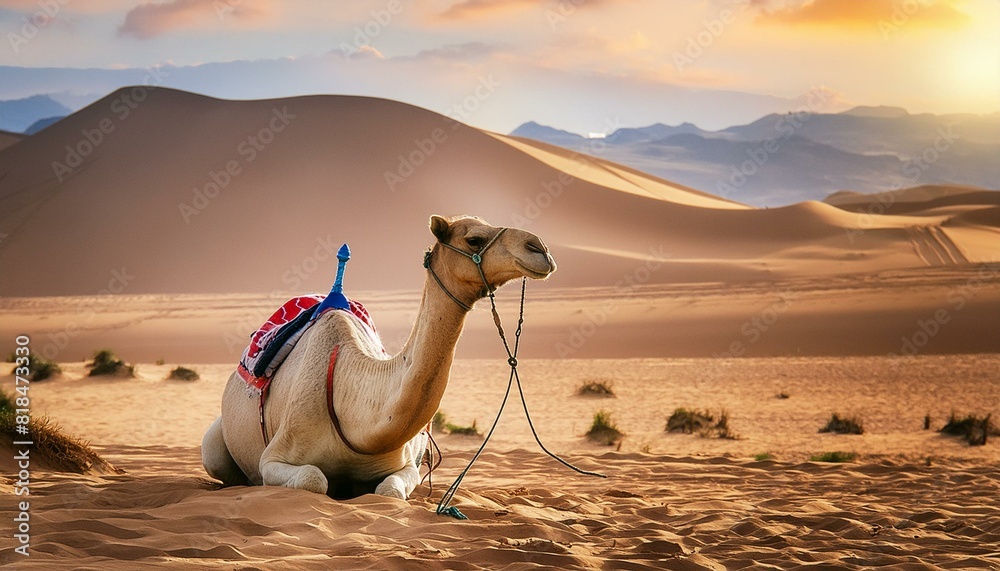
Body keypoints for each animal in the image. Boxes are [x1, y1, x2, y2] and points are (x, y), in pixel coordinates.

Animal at [201, 215, 556, 499]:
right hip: (214, 448)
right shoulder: (274, 458)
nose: (540, 248)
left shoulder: (407, 464)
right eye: (474, 239)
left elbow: (390, 490)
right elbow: (314, 478)